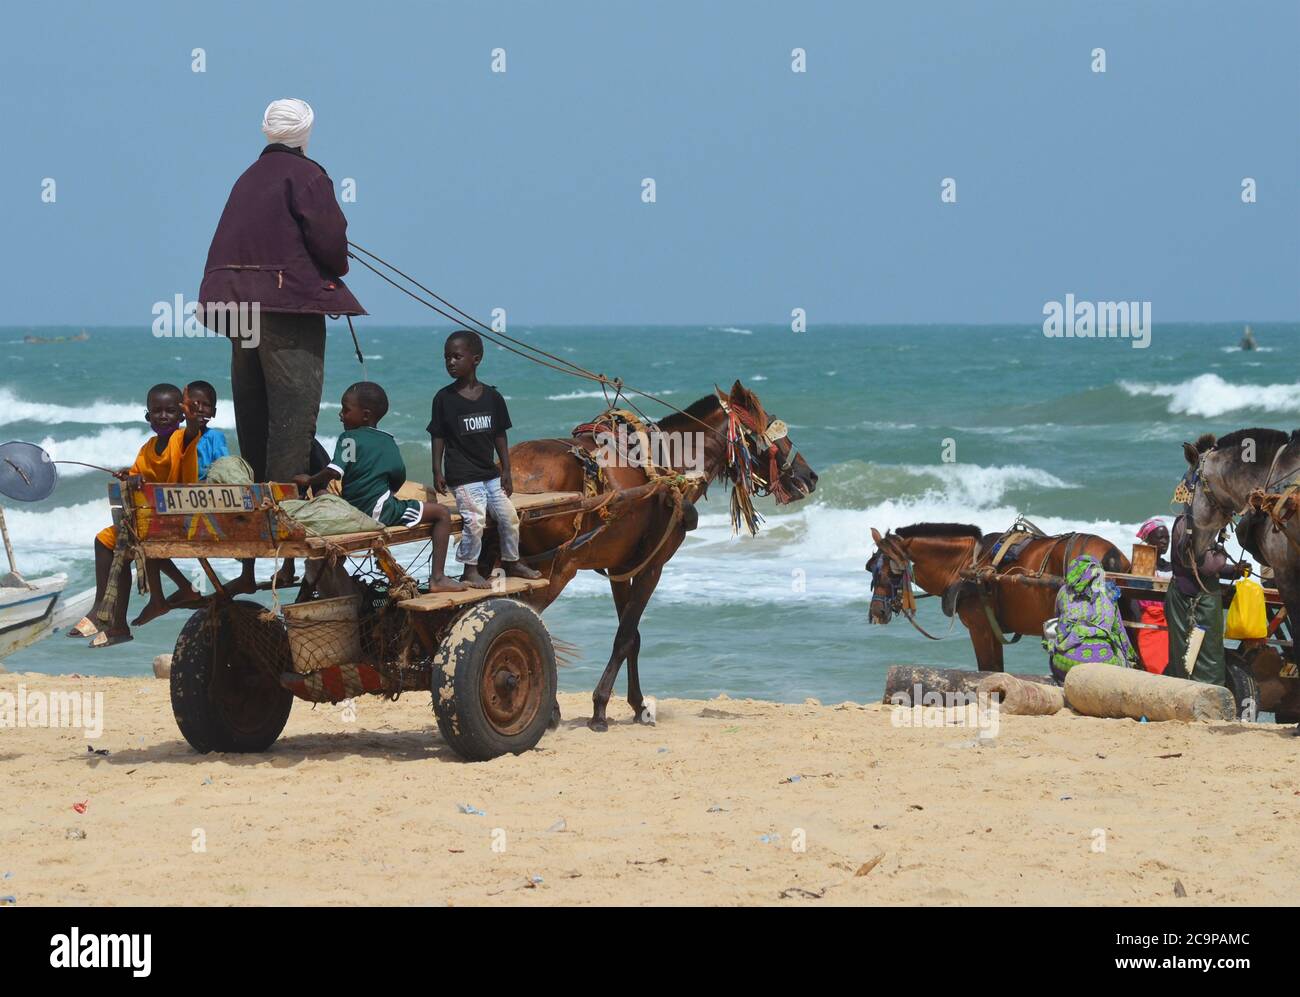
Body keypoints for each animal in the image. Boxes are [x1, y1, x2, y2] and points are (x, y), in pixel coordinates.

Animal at [504, 379, 811, 727]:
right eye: (766, 432)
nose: (810, 476)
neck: (669, 467)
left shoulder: (622, 569)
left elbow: (632, 637)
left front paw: (637, 704)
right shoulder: (652, 567)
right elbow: (625, 637)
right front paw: (600, 707)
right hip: (553, 569)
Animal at [868, 522, 1133, 670]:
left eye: (887, 571)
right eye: (871, 568)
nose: (876, 613)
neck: (968, 564)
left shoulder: (980, 628)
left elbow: (988, 670)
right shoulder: (991, 629)